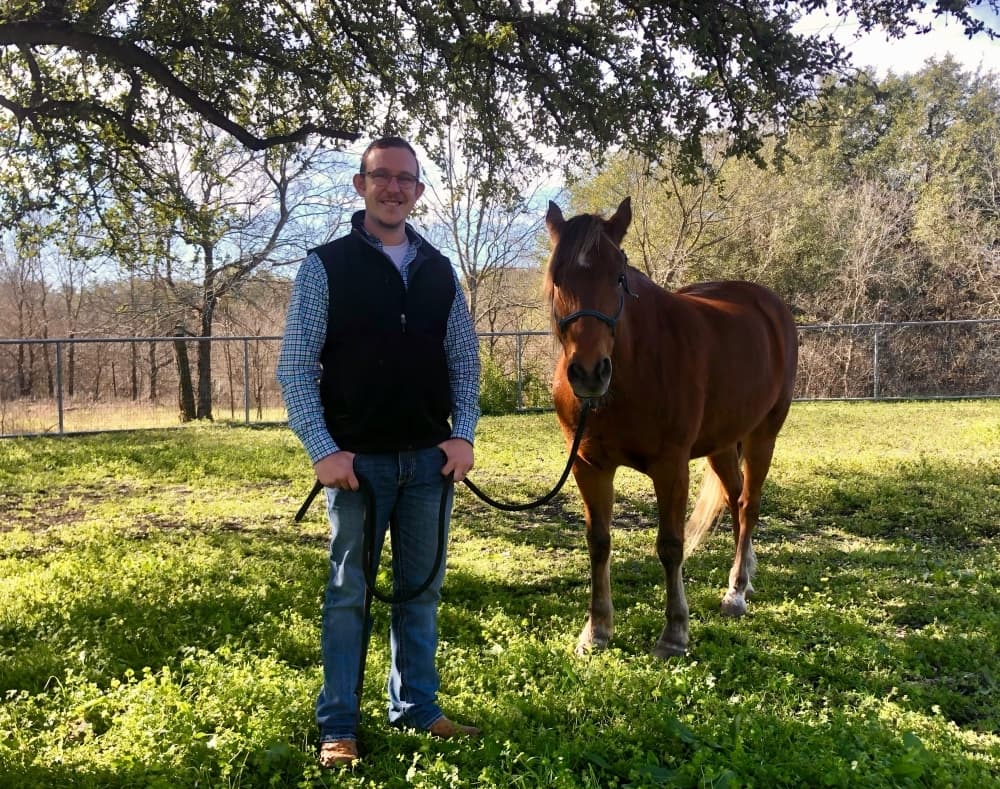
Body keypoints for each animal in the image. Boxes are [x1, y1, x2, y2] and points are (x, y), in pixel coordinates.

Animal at [544, 197, 798, 658]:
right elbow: (599, 542)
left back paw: (736, 591)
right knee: (735, 501)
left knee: (749, 505)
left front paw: (675, 631)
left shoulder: (671, 467)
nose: (589, 373)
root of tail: (768, 304)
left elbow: (670, 545)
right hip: (721, 446)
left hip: (763, 435)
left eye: (620, 276)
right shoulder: (589, 467)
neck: (635, 364)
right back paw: (743, 577)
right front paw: (597, 629)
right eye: (557, 279)